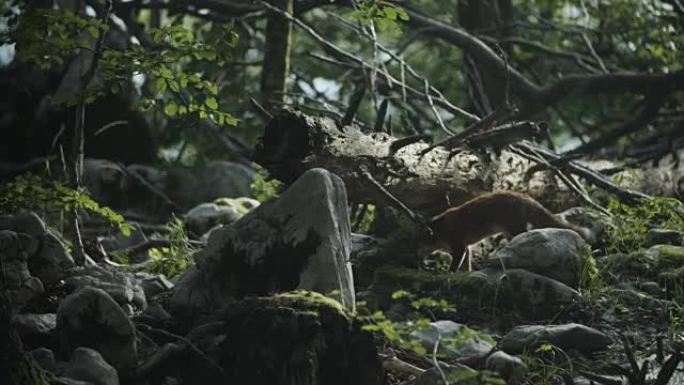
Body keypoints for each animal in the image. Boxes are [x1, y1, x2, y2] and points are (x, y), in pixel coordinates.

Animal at [428, 190, 592, 270]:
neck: (441, 229)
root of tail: (525, 196)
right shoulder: (466, 247)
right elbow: (466, 265)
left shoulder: (459, 246)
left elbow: (454, 266)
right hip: (508, 232)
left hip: (514, 229)